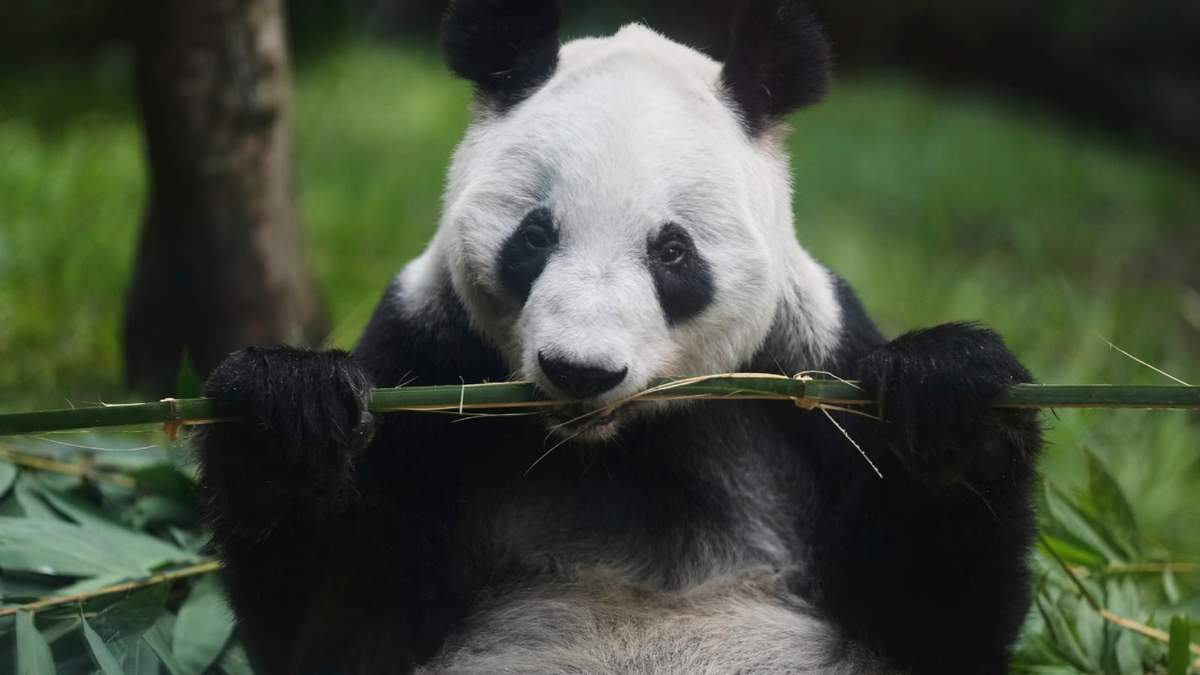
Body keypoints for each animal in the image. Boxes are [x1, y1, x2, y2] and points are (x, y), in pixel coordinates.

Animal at [196, 1, 1043, 673]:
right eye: (534, 237)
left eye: (672, 252)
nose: (580, 370)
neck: (618, 445)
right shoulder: (426, 362)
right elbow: (338, 621)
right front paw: (289, 412)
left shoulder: (814, 377)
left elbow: (932, 623)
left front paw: (951, 400)